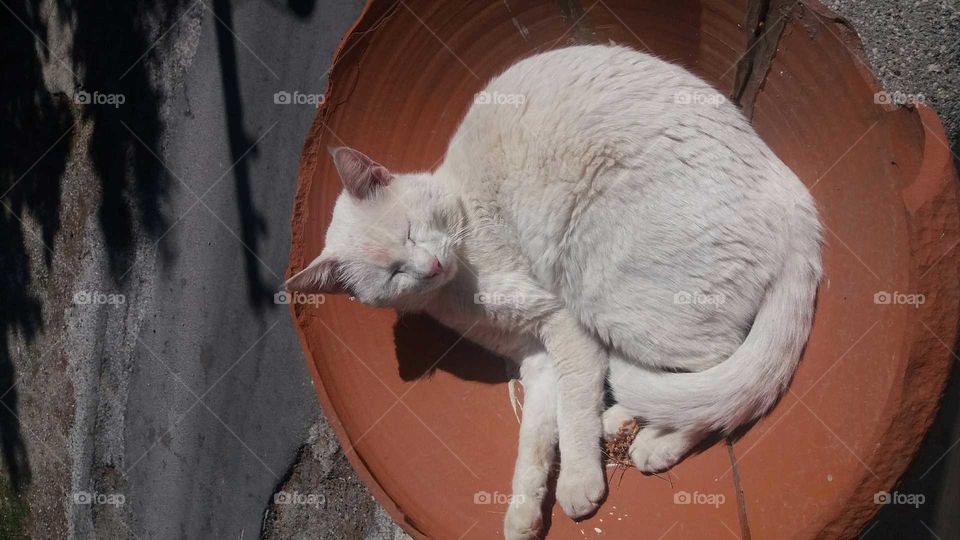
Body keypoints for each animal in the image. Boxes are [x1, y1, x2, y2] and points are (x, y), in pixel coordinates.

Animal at [288, 44, 820, 536]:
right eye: (394, 273)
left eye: (411, 231)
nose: (431, 265)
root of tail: (794, 197)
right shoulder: (536, 359)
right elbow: (536, 439)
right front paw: (523, 515)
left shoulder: (566, 328)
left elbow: (573, 411)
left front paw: (579, 483)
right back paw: (623, 421)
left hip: (604, 294)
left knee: (718, 374)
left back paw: (656, 443)